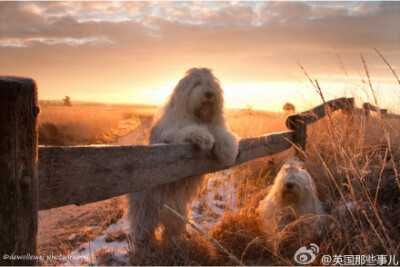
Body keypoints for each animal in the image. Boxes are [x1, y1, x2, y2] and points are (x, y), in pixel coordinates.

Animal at [130, 68, 239, 250]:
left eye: (211, 84)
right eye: (197, 84)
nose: (209, 94)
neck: (198, 117)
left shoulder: (212, 124)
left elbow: (217, 131)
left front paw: (228, 149)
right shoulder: (170, 135)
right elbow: (184, 131)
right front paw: (203, 136)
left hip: (177, 211)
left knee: (172, 227)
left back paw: (174, 242)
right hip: (146, 207)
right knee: (142, 226)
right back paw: (144, 246)